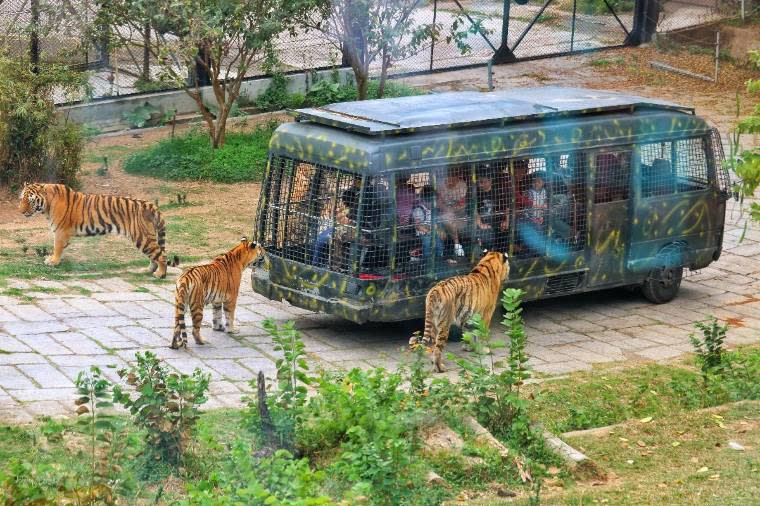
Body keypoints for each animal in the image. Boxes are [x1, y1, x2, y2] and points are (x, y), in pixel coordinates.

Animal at [20, 182, 177, 276]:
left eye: (30, 200)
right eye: (21, 199)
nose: (21, 211)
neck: (46, 205)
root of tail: (151, 205)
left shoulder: (60, 232)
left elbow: (57, 247)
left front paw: (53, 261)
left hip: (142, 237)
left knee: (161, 255)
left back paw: (160, 274)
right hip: (146, 237)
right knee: (155, 255)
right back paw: (148, 270)